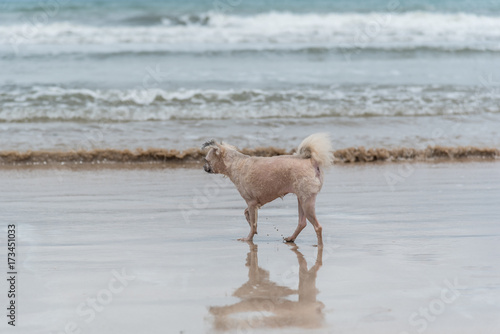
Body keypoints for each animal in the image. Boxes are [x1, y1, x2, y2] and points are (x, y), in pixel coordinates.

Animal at [201, 133, 334, 245]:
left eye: (206, 160)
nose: (203, 167)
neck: (235, 163)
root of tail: (311, 161)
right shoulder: (255, 203)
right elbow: (248, 216)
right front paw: (250, 223)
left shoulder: (251, 202)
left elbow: (253, 224)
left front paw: (248, 238)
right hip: (301, 199)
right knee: (302, 223)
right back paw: (291, 238)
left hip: (307, 202)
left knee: (317, 226)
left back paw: (320, 245)